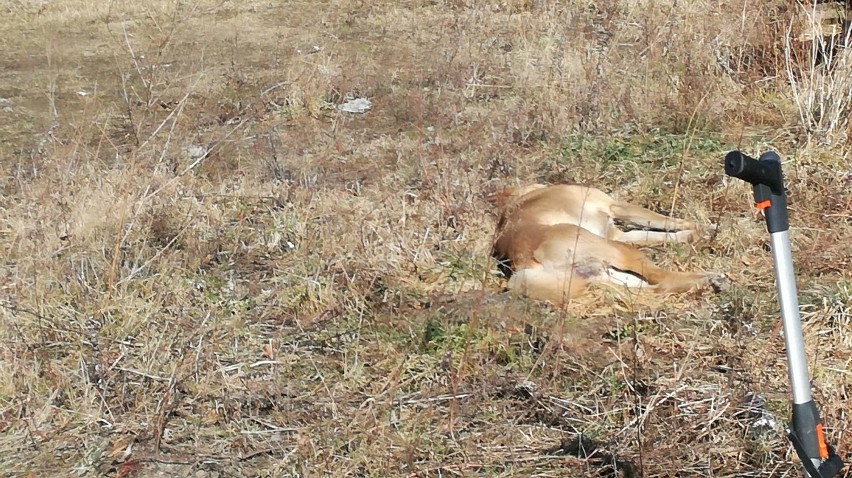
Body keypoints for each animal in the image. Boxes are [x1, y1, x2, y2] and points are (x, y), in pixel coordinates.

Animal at [492, 183, 724, 302]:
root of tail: (525, 261)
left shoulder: (617, 234)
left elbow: (660, 234)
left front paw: (695, 233)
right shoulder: (618, 207)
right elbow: (670, 222)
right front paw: (705, 229)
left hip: (610, 272)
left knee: (653, 288)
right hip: (620, 251)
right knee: (663, 279)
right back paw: (710, 279)